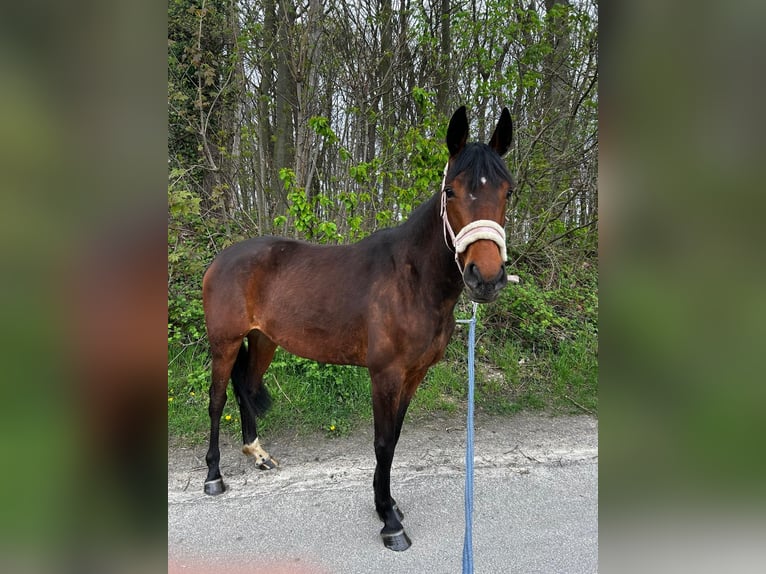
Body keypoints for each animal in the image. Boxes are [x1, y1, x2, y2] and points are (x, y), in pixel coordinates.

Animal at [202, 106, 516, 552]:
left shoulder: (414, 374)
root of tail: (220, 260)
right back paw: (213, 477)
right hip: (225, 342)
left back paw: (258, 454)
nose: (485, 278)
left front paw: (390, 504)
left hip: (264, 340)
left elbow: (395, 438)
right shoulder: (385, 374)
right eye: (451, 191)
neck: (412, 279)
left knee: (245, 384)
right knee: (216, 401)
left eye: (508, 192)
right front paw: (389, 521)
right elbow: (382, 442)